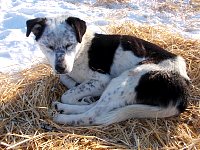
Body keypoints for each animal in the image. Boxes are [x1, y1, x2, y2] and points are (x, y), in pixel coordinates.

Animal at [25, 15, 190, 126]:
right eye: (49, 46)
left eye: (69, 45)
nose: (60, 67)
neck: (80, 50)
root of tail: (183, 94)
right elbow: (66, 80)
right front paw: (80, 92)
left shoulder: (102, 80)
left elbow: (68, 94)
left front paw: (77, 94)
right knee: (97, 106)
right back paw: (73, 105)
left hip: (126, 79)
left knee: (93, 115)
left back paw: (63, 117)